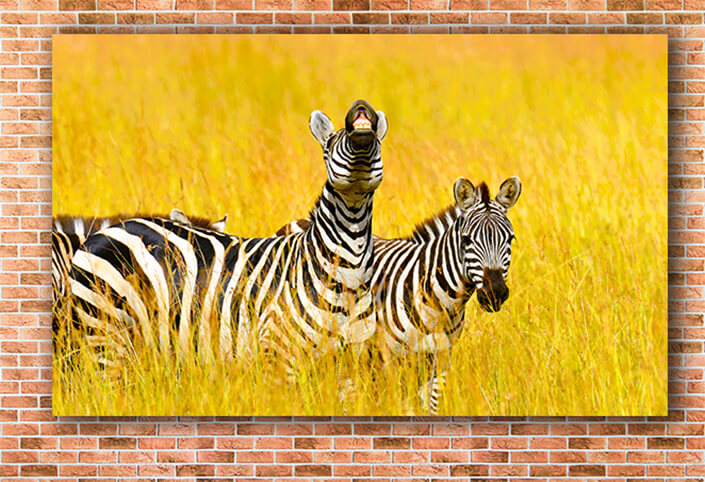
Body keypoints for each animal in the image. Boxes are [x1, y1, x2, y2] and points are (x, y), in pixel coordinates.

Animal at [66, 99, 387, 368]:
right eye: (332, 144)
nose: (360, 108)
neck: (347, 271)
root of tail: (103, 233)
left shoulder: (350, 363)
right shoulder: (279, 355)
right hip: (104, 334)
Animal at [275, 176, 521, 413]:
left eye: (510, 239)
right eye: (467, 240)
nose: (495, 293)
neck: (440, 302)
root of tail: (302, 220)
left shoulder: (440, 359)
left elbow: (430, 406)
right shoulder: (391, 358)